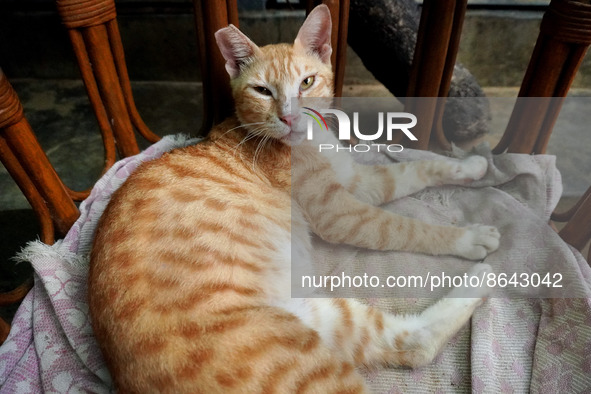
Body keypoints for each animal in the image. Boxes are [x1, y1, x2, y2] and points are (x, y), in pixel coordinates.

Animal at [89, 4, 500, 392]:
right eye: (262, 91)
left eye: (307, 81)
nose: (289, 118)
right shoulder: (341, 214)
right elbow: (407, 227)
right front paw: (468, 236)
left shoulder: (356, 181)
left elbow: (415, 169)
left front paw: (470, 165)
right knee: (409, 346)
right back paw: (483, 270)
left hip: (323, 316)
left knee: (413, 343)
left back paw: (483, 278)